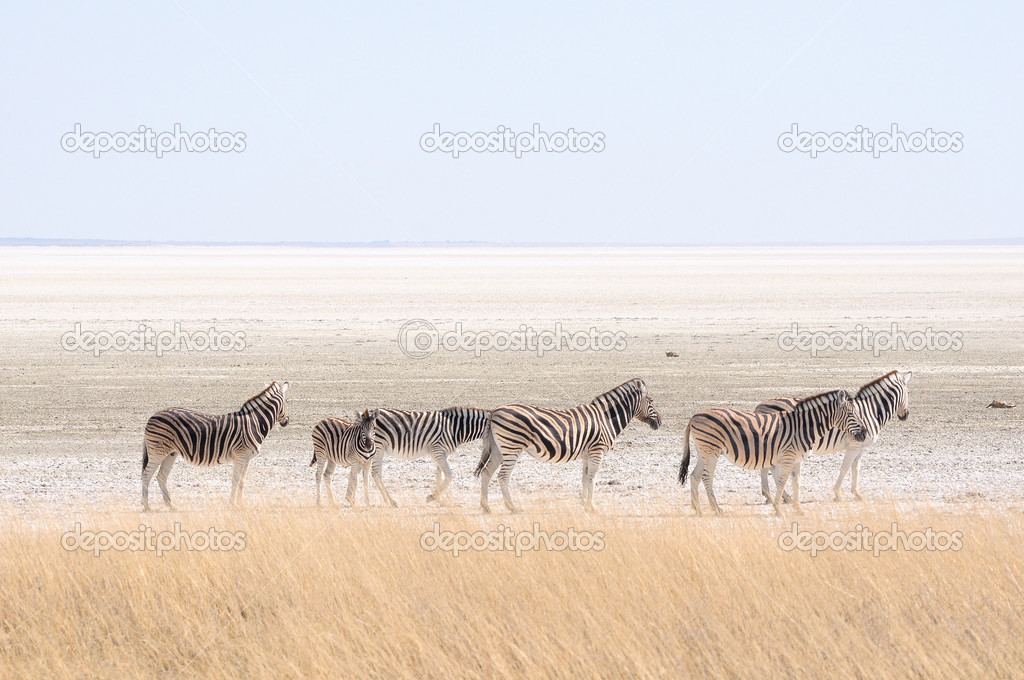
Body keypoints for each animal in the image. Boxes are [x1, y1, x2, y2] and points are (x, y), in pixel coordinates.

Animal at [140, 383, 288, 510]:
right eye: (287, 402)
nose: (286, 422)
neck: (255, 422)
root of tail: (153, 416)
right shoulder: (240, 456)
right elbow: (235, 480)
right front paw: (233, 504)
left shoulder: (246, 459)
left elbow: (242, 481)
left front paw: (241, 503)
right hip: (157, 452)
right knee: (146, 475)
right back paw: (147, 507)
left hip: (170, 453)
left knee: (161, 477)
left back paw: (171, 505)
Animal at [473, 378, 659, 512]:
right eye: (651, 401)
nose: (660, 423)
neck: (605, 418)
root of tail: (494, 411)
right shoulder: (597, 451)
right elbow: (592, 478)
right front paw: (592, 507)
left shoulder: (587, 454)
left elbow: (584, 478)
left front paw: (584, 504)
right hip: (512, 447)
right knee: (502, 477)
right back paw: (512, 507)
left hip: (498, 449)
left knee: (487, 473)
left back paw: (486, 507)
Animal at [679, 387, 864, 516]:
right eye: (851, 413)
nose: (864, 434)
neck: (803, 427)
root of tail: (695, 414)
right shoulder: (789, 457)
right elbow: (782, 482)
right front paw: (779, 509)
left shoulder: (797, 460)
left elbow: (796, 483)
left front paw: (798, 509)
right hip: (711, 451)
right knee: (706, 478)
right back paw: (716, 509)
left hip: (703, 451)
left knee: (694, 476)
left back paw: (698, 509)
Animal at [757, 368, 917, 501]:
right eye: (908, 393)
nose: (905, 415)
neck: (870, 411)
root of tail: (760, 405)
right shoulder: (854, 445)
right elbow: (845, 468)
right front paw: (838, 493)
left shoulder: (860, 447)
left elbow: (855, 468)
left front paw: (857, 493)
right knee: (771, 467)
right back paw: (779, 496)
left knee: (767, 466)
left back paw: (771, 495)